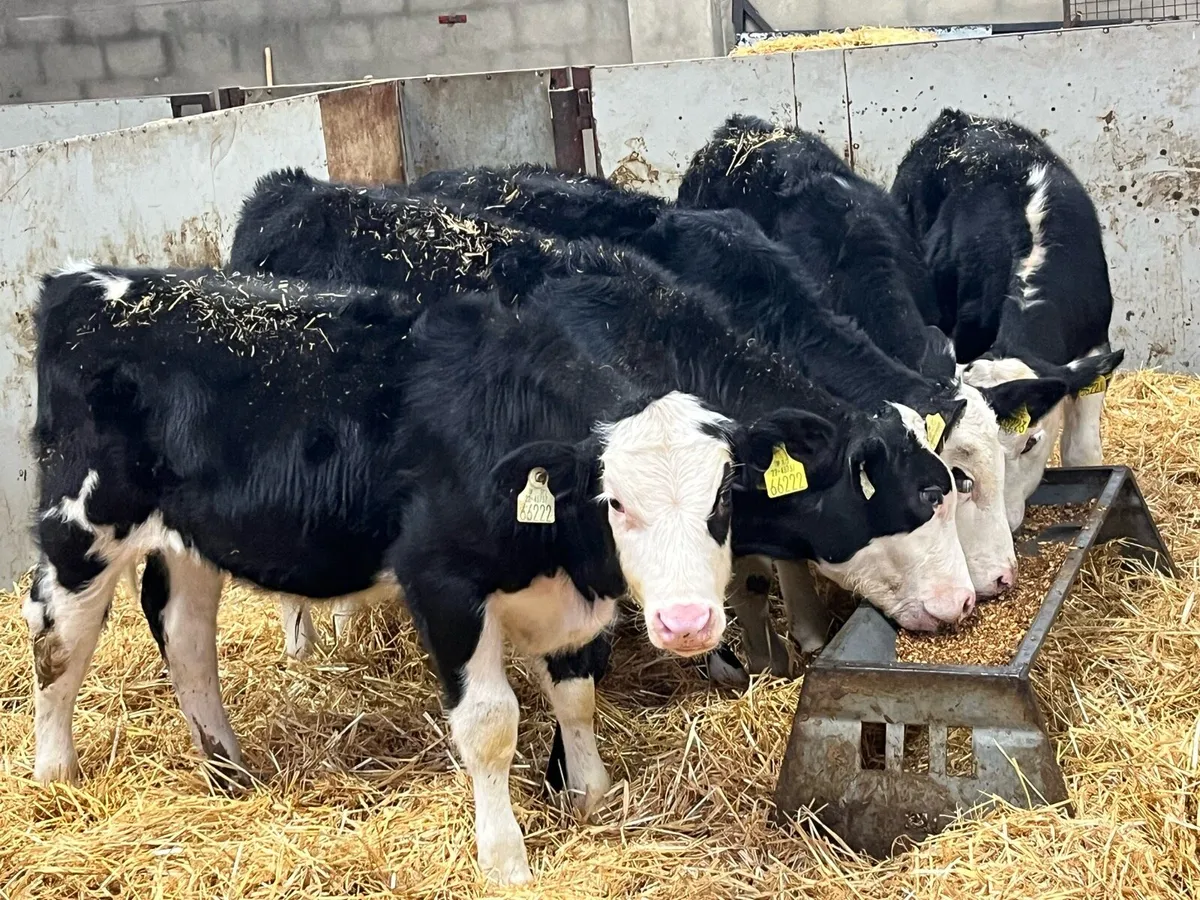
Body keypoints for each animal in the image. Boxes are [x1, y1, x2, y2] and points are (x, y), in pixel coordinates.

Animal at [28, 264, 772, 884]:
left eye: (724, 495)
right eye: (614, 501)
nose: (687, 622)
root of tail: (83, 282)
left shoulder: (567, 602)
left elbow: (577, 696)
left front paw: (591, 796)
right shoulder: (442, 583)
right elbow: (490, 724)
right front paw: (505, 859)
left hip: (192, 540)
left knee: (184, 637)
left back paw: (227, 770)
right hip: (81, 523)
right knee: (58, 640)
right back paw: (56, 778)